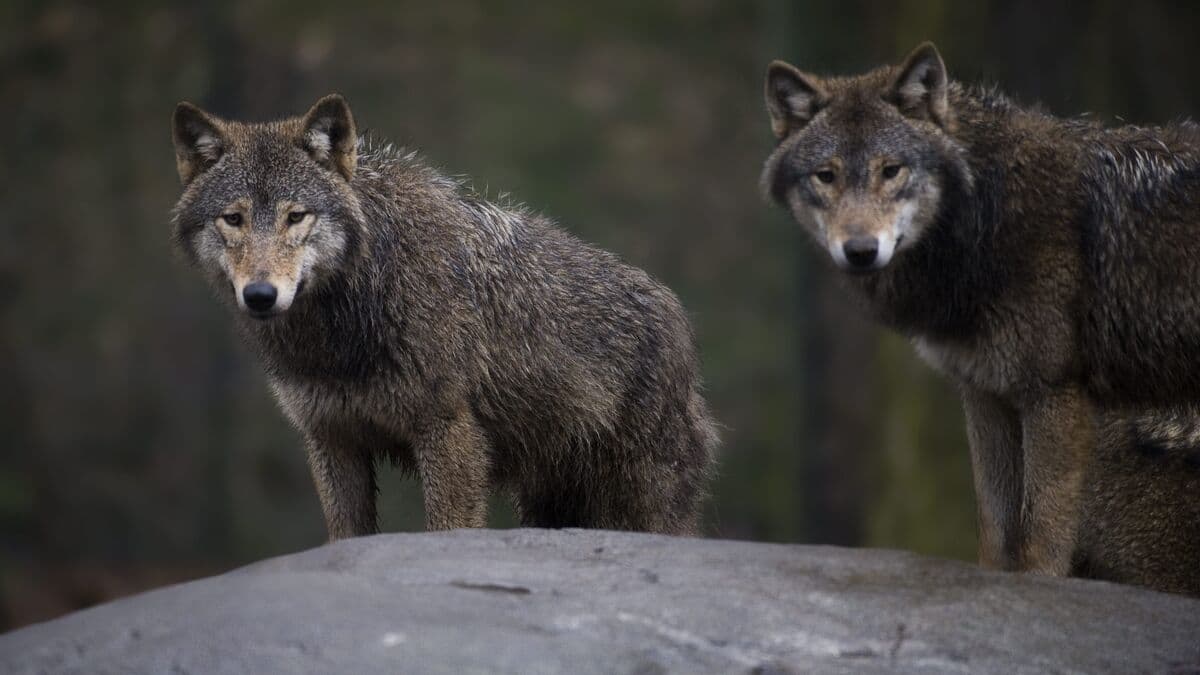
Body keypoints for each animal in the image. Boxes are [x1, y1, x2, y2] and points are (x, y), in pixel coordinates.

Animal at [170, 95, 717, 539]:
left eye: (296, 216)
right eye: (233, 219)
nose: (261, 295)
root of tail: (678, 316)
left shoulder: (448, 432)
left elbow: (447, 528)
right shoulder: (332, 439)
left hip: (636, 500)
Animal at [762, 42, 1200, 575]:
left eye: (892, 170)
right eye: (827, 176)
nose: (861, 250)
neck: (985, 217)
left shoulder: (1053, 395)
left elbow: (1040, 540)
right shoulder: (984, 393)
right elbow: (995, 533)